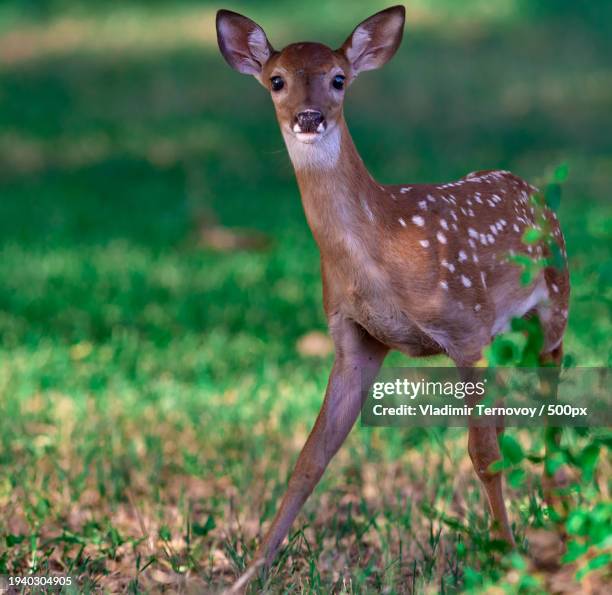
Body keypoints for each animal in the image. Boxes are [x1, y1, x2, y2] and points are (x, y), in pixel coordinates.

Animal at [216, 3, 568, 584]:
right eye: (276, 80)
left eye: (339, 78)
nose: (309, 118)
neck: (382, 247)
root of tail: (531, 187)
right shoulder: (354, 337)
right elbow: (310, 458)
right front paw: (251, 572)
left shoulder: (464, 328)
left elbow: (481, 453)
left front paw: (507, 559)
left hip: (555, 299)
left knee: (550, 402)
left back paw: (558, 522)